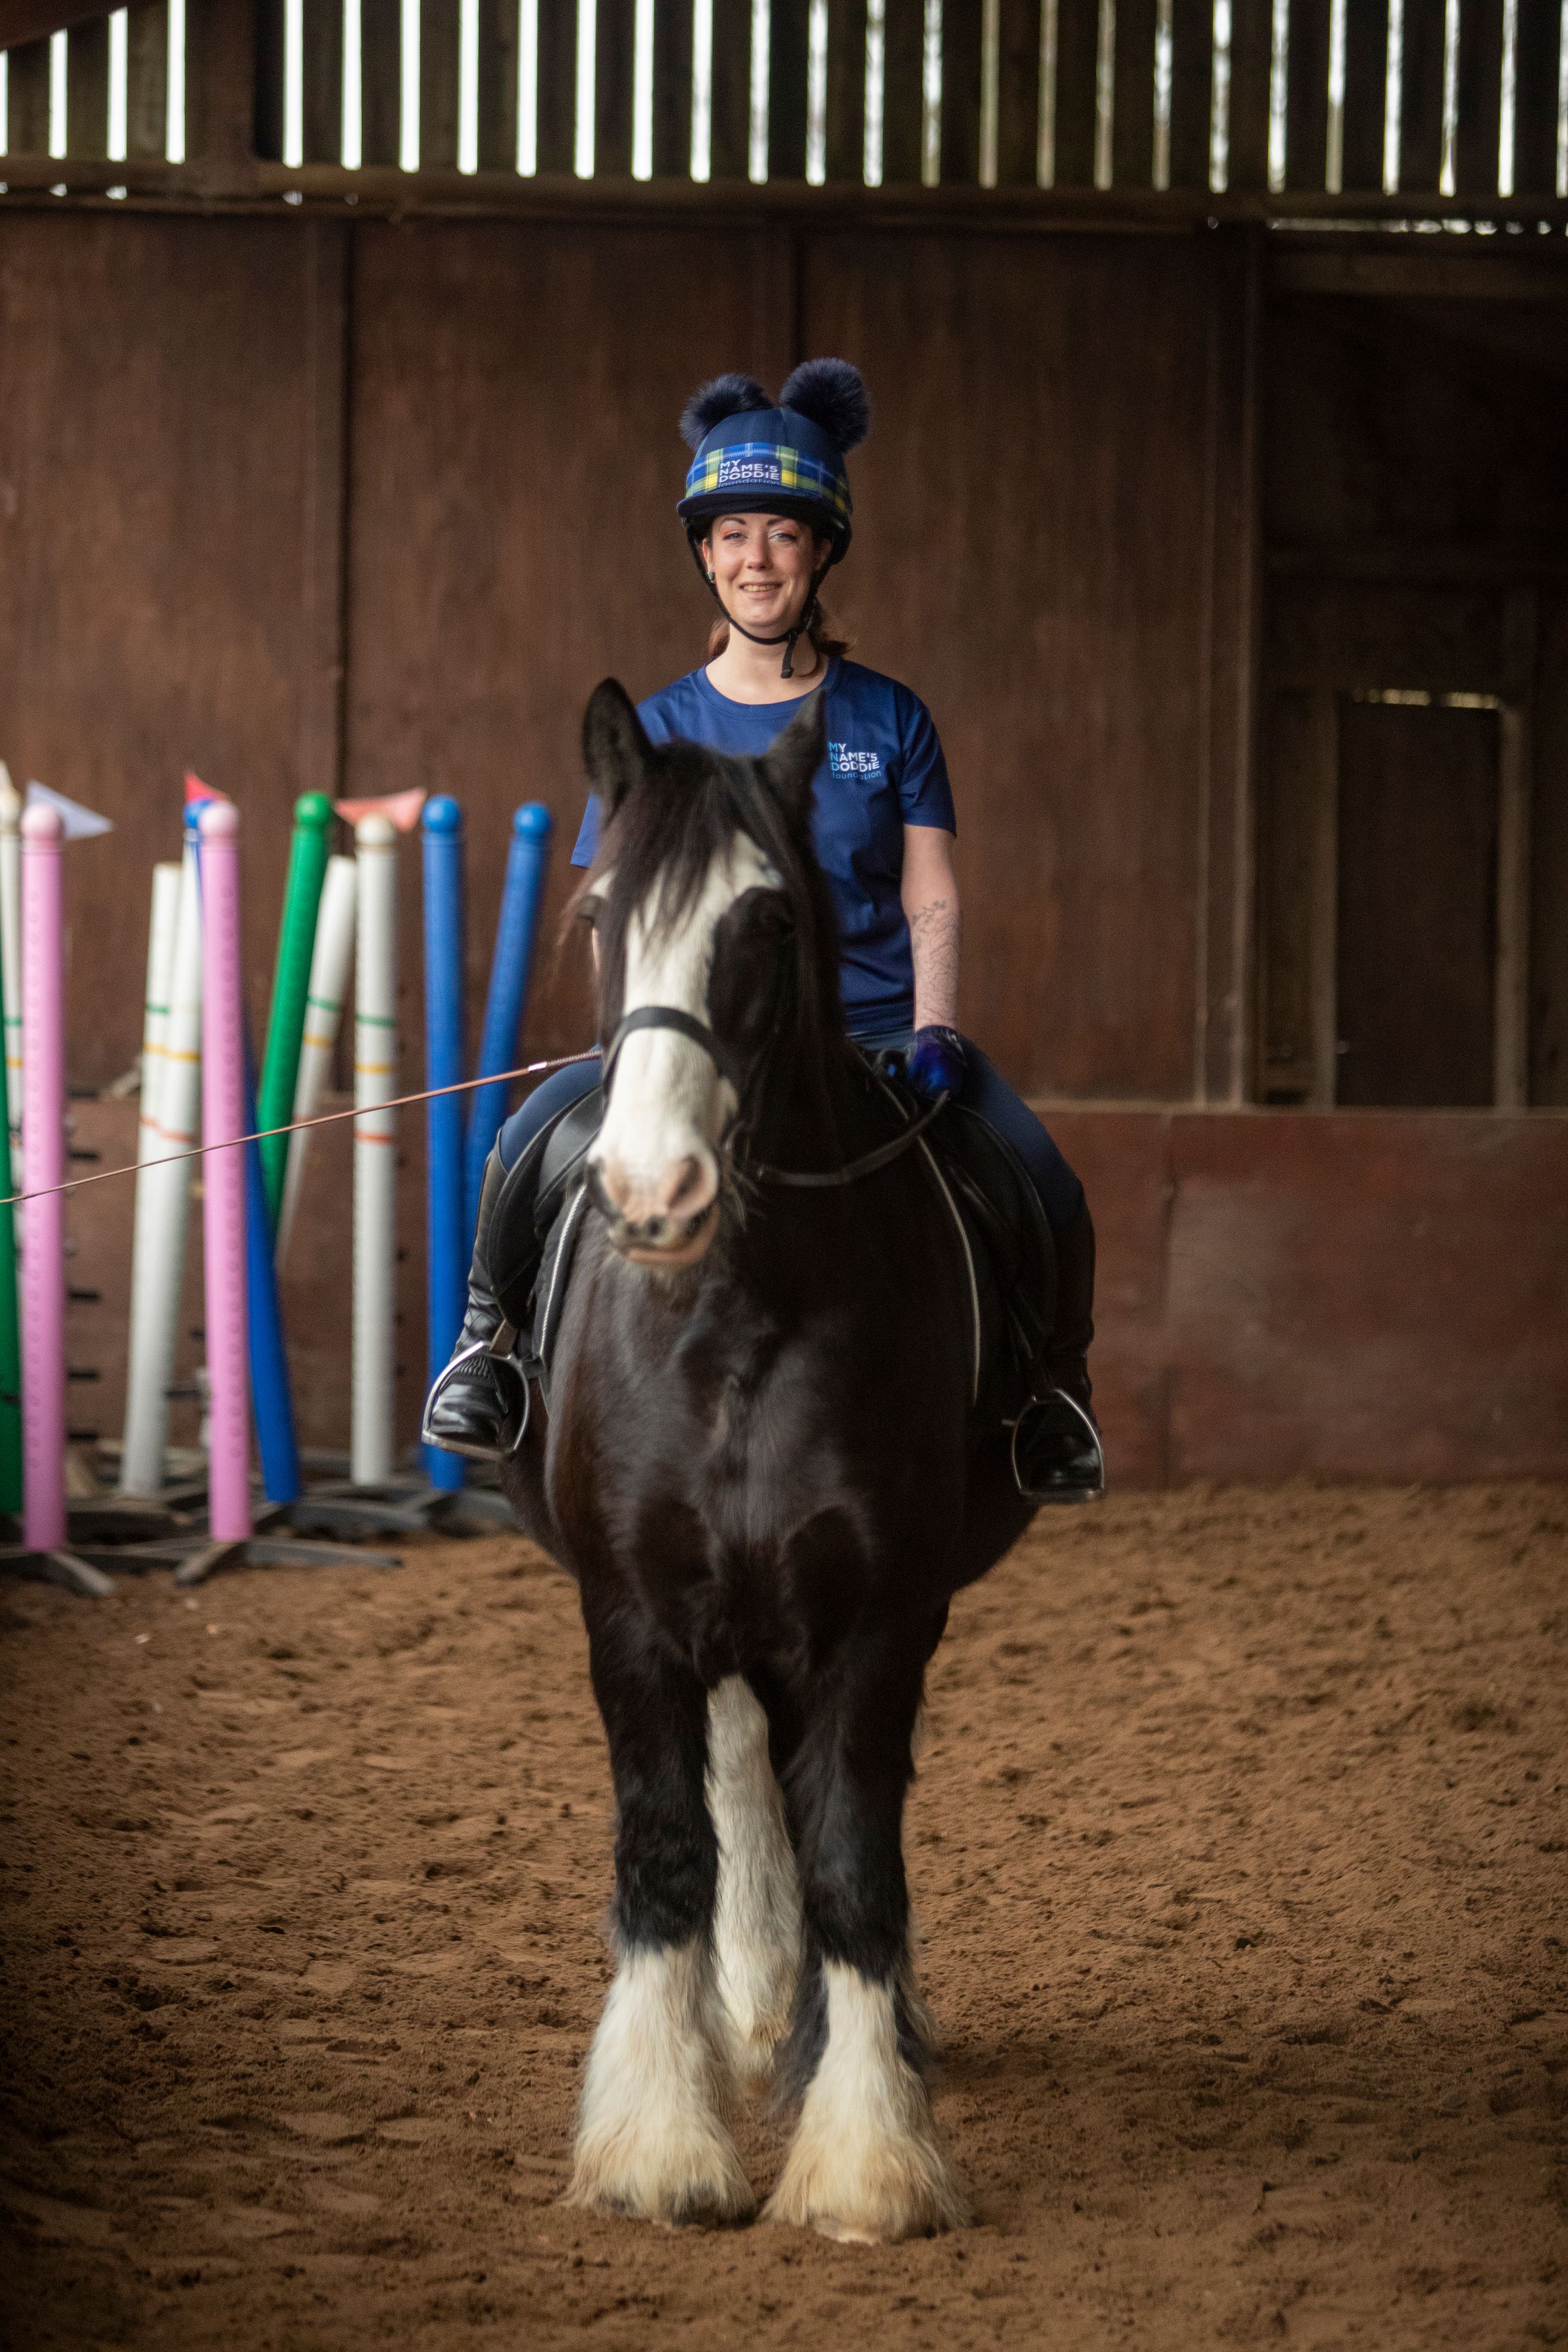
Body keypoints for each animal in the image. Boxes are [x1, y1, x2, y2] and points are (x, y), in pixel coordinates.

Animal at [503, 687, 1034, 2239]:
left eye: (770, 920)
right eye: (601, 912)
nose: (652, 1191)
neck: (736, 1311)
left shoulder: (878, 1611)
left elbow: (856, 1861)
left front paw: (866, 2154)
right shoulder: (629, 1609)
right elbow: (669, 1848)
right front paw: (659, 2145)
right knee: (742, 1781)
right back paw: (746, 2009)